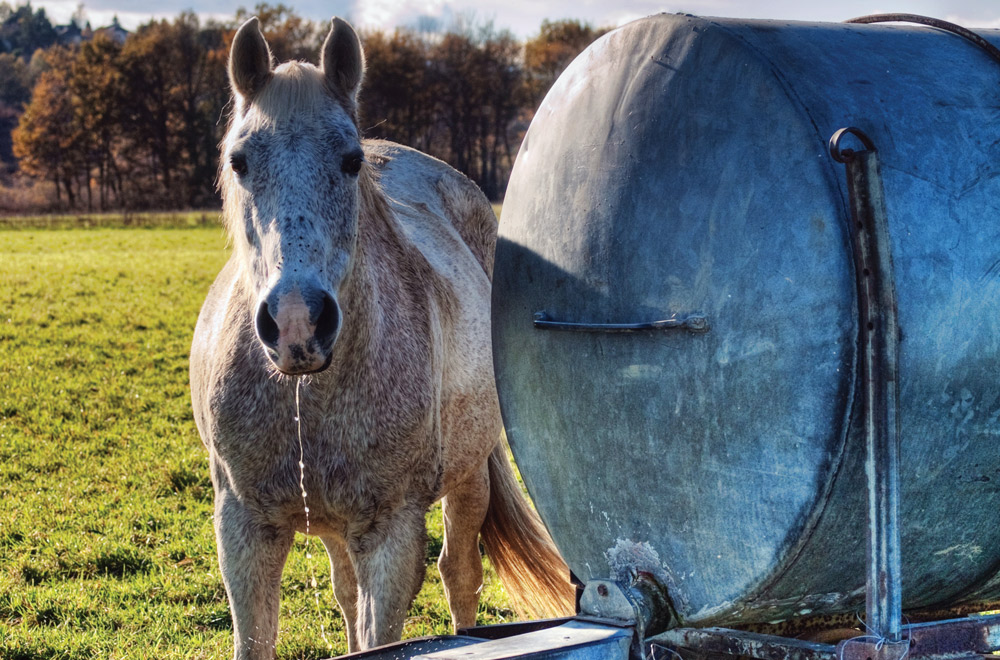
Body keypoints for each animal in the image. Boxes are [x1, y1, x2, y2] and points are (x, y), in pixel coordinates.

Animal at [190, 15, 576, 660]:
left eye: (350, 162)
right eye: (239, 160)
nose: (297, 322)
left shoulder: (389, 535)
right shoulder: (244, 529)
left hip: (467, 480)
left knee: (460, 575)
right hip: (332, 521)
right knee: (347, 593)